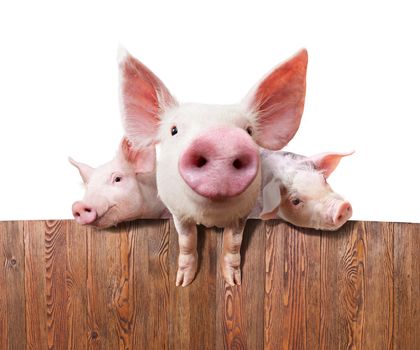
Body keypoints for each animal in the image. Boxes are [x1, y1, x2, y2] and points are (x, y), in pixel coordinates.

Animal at [119, 47, 308, 288]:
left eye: (248, 131)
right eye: (173, 130)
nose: (221, 139)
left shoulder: (243, 213)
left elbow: (233, 243)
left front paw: (234, 283)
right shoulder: (177, 211)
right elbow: (187, 241)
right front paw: (183, 283)